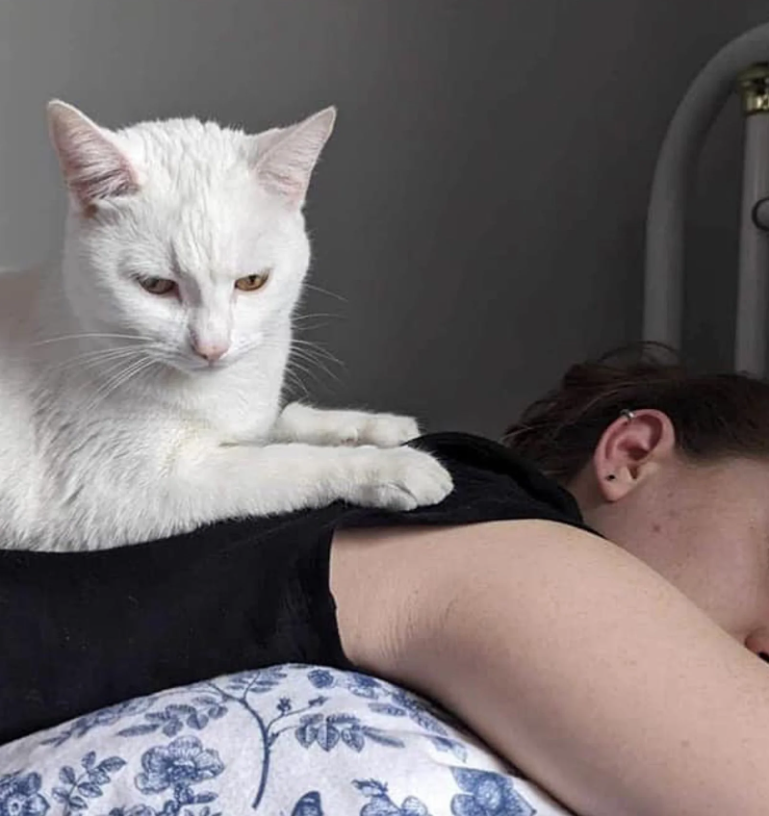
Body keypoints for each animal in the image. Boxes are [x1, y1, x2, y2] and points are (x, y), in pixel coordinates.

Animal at [0, 100, 452, 548]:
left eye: (251, 282)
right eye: (156, 286)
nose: (211, 347)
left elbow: (285, 421)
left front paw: (375, 425)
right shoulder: (117, 491)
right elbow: (285, 462)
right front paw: (392, 467)